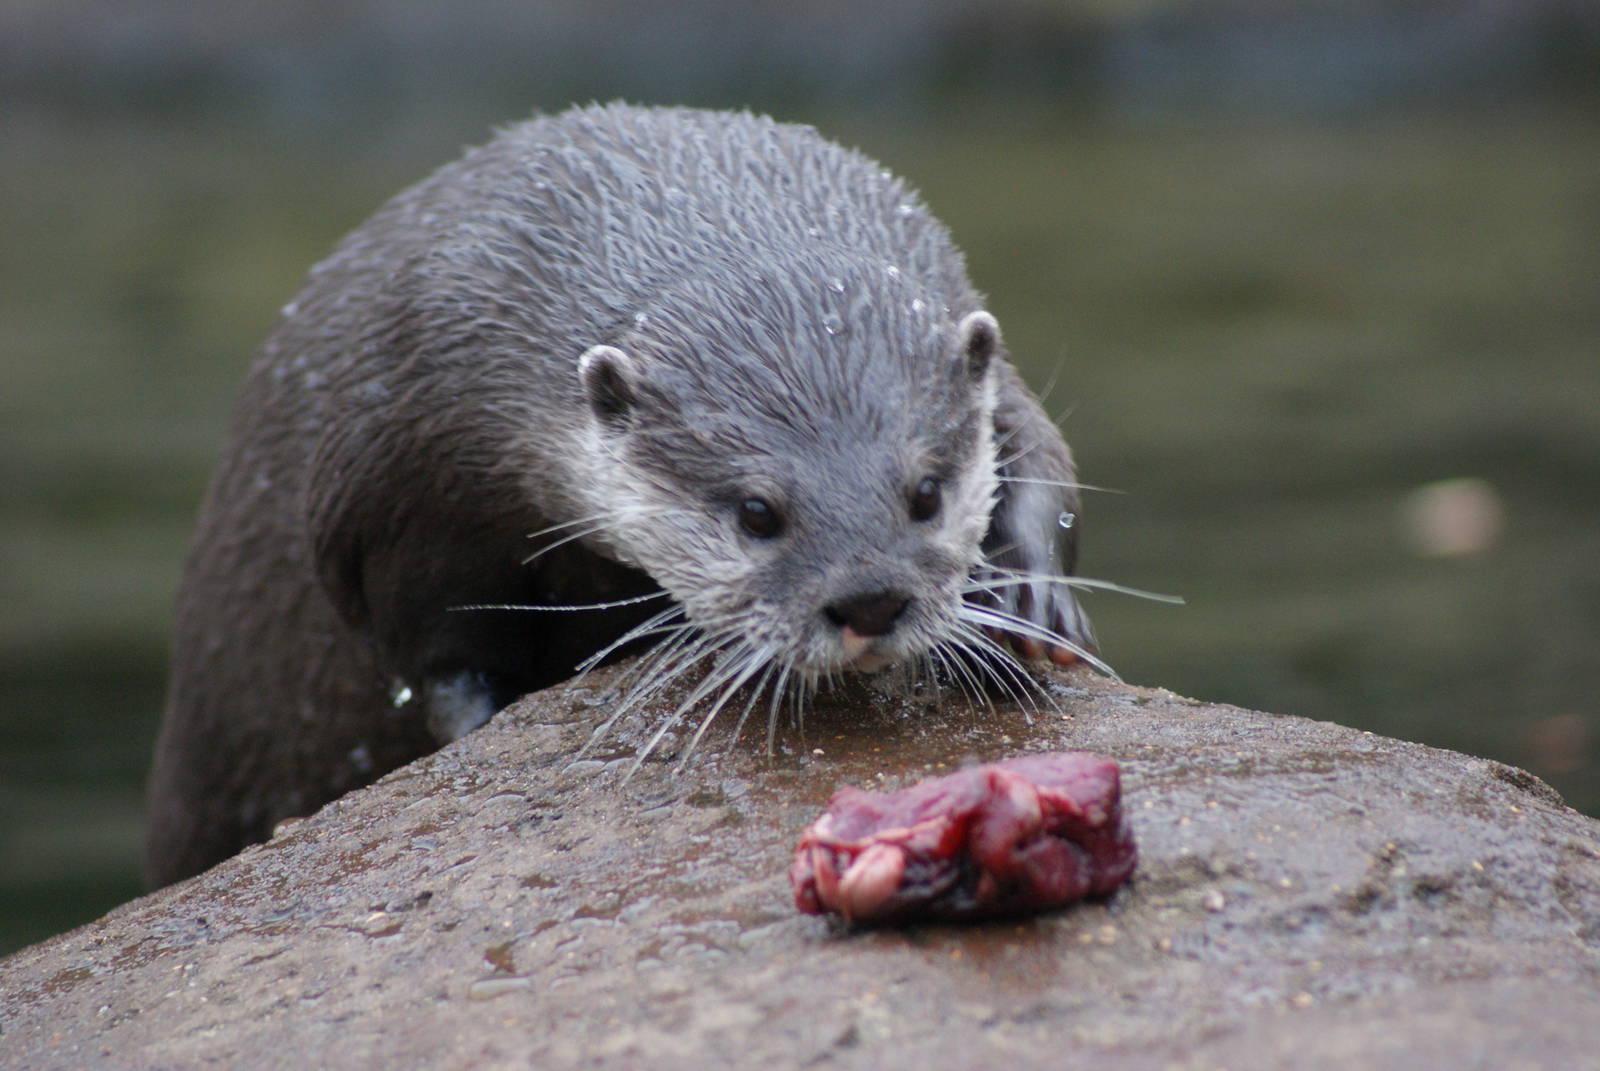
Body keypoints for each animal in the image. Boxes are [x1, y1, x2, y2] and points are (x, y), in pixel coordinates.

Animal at [144, 104, 1096, 888]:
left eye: (926, 491)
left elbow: (1045, 452)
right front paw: (482, 721)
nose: (870, 599)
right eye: (756, 512)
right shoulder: (387, 479)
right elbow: (427, 645)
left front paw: (1031, 602)